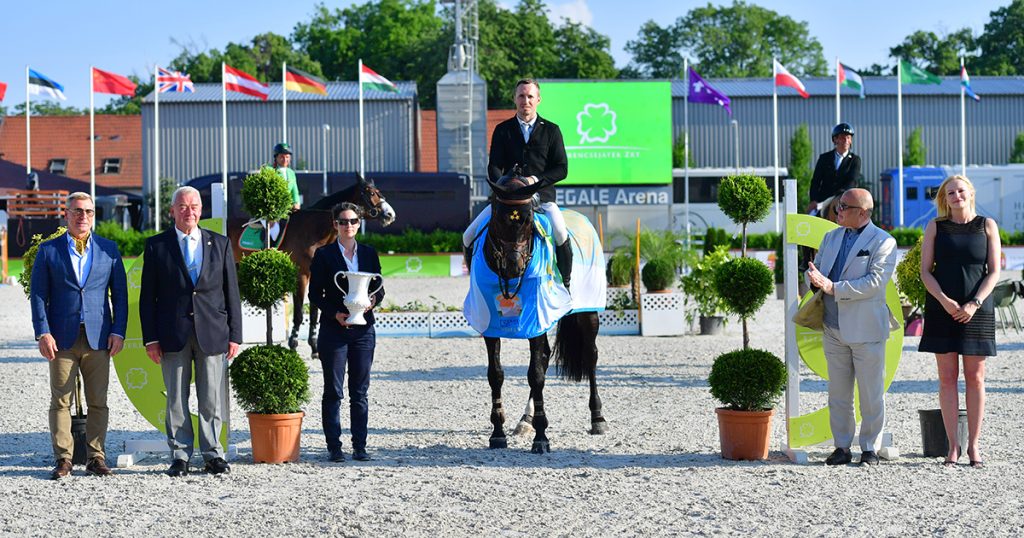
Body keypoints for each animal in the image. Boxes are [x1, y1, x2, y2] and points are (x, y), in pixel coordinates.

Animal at [229, 175, 395, 356]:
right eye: (371, 193)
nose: (390, 215)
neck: (314, 230)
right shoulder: (301, 275)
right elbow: (299, 313)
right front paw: (293, 343)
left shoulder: (316, 276)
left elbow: (315, 312)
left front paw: (314, 346)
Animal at [471, 174, 606, 450]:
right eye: (497, 217)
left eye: (529, 219)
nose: (513, 265)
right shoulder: (490, 323)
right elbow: (496, 374)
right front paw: (498, 433)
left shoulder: (535, 317)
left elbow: (535, 374)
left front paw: (541, 439)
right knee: (544, 356)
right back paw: (526, 420)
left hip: (587, 313)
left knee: (590, 356)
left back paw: (597, 418)